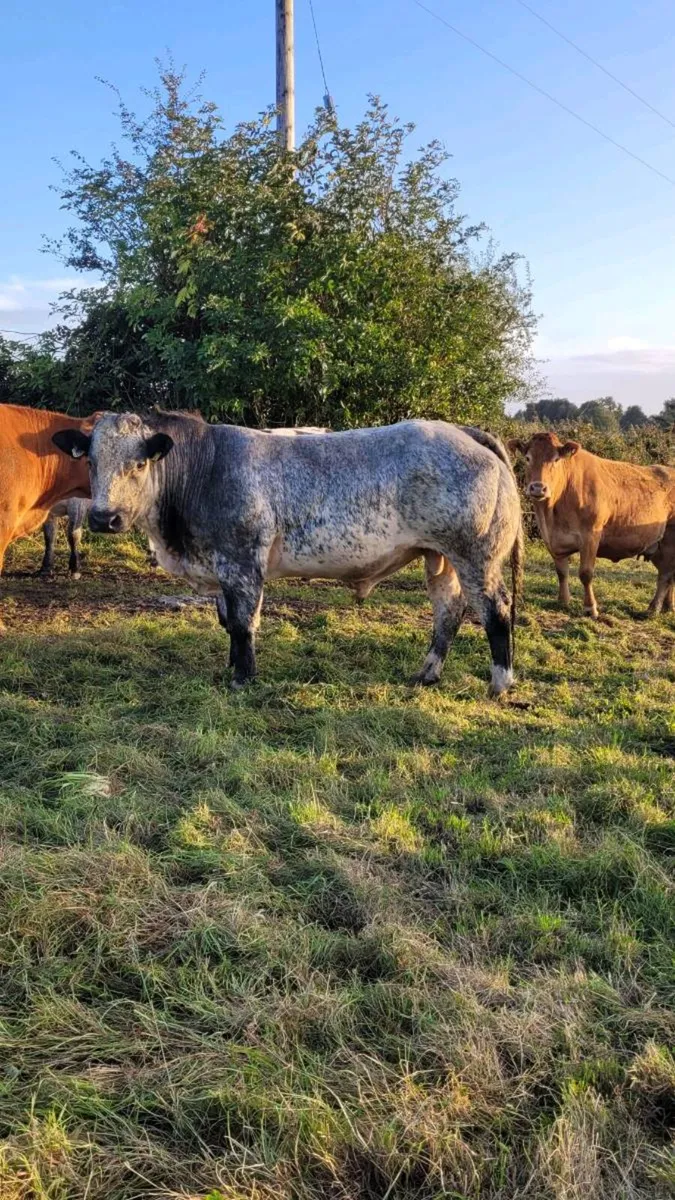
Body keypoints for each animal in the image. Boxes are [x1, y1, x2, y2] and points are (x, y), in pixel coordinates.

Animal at [53, 412, 524, 696]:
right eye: (90, 461)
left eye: (139, 464)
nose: (104, 518)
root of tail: (463, 431)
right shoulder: (222, 572)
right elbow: (228, 623)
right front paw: (232, 668)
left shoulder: (242, 564)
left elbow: (243, 624)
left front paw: (243, 679)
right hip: (438, 556)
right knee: (449, 610)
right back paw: (427, 673)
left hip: (475, 555)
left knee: (496, 610)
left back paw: (500, 684)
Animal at [508, 431, 675, 617]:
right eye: (528, 458)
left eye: (556, 459)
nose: (538, 488)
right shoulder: (553, 540)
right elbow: (561, 572)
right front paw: (563, 601)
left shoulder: (590, 536)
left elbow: (585, 573)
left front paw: (590, 608)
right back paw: (668, 607)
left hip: (669, 539)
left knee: (666, 574)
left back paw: (653, 608)